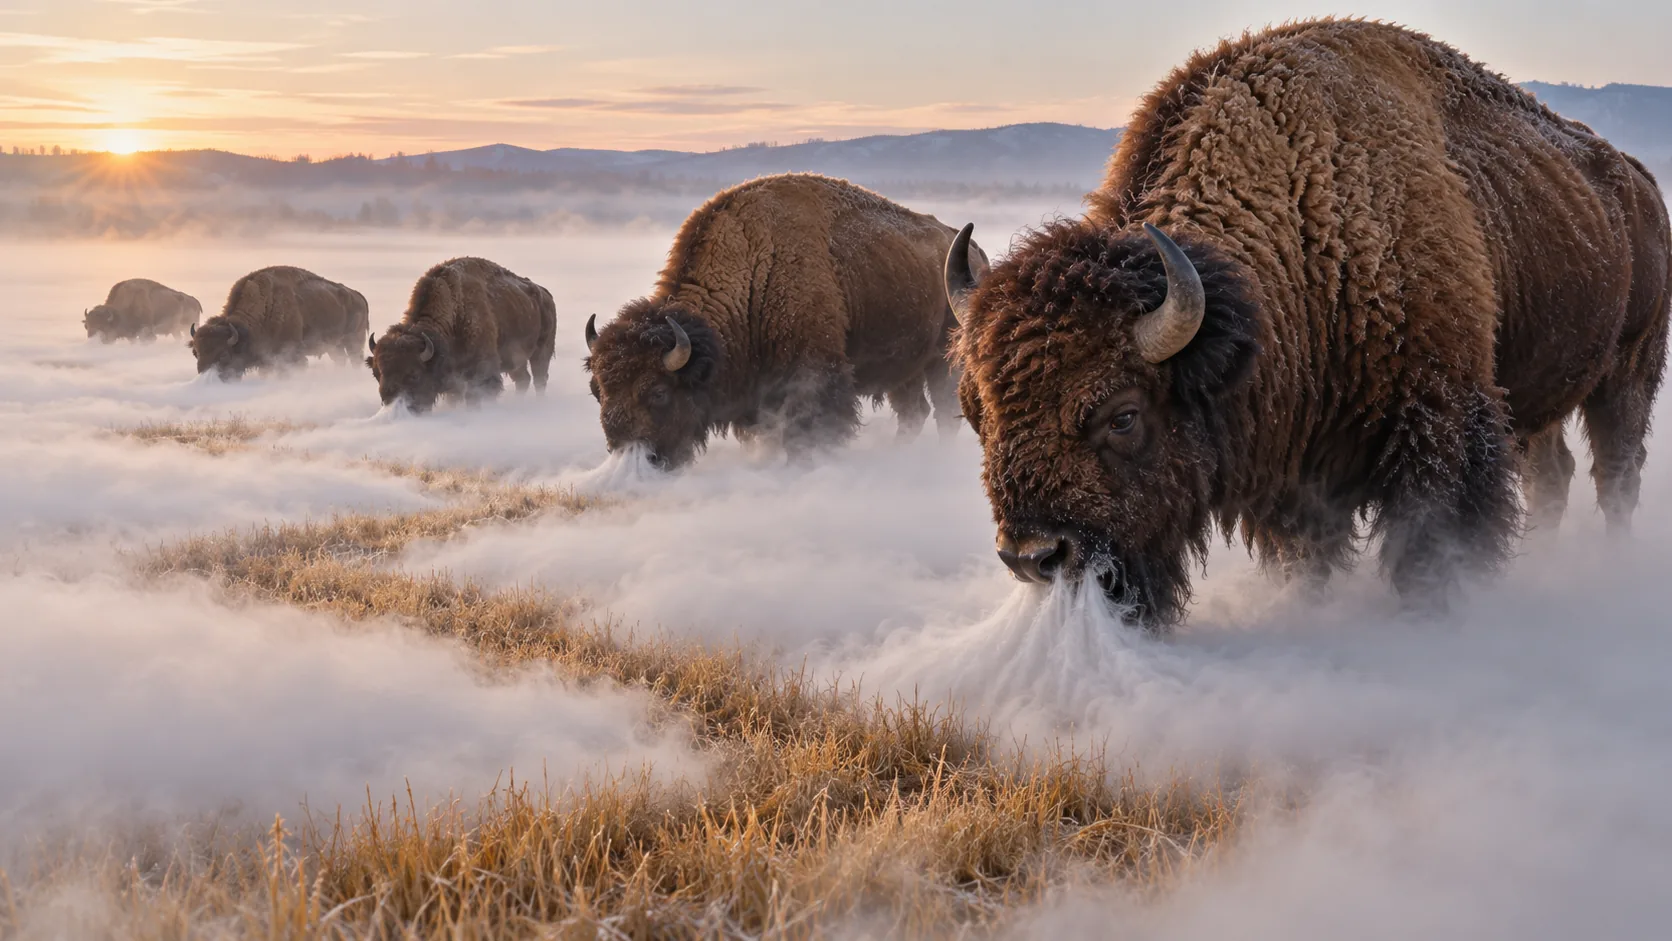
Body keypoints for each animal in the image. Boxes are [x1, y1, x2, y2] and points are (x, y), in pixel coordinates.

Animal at [191, 266, 368, 380]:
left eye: (223, 355)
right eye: (196, 354)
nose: (205, 378)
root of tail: (359, 296)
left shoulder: (291, 356)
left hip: (354, 341)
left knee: (355, 360)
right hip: (334, 346)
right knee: (341, 360)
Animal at [366, 257, 556, 413]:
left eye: (414, 374)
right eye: (376, 374)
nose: (390, 401)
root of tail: (545, 294)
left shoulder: (482, 373)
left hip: (542, 351)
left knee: (540, 378)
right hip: (517, 359)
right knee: (523, 379)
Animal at [584, 172, 987, 469]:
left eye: (658, 392)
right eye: (597, 391)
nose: (637, 456)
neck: (754, 267)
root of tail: (972, 251)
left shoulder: (815, 377)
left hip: (942, 360)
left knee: (943, 412)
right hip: (904, 367)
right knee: (914, 413)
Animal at [945, 19, 1670, 627]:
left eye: (1123, 416)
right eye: (977, 415)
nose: (1034, 555)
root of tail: (1639, 183)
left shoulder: (1443, 428)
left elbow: (1432, 550)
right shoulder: (1298, 479)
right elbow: (1309, 560)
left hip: (1629, 372)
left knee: (1617, 471)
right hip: (1543, 398)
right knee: (1554, 474)